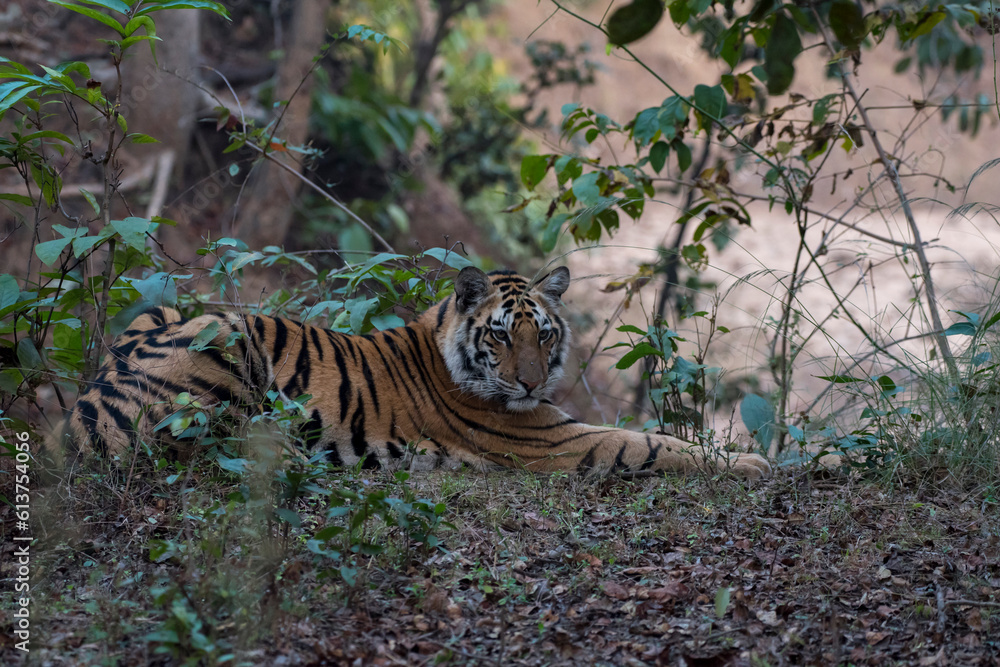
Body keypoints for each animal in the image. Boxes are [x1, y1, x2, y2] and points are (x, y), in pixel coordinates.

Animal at [51, 266, 770, 479]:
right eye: (502, 333)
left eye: (545, 332)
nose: (531, 383)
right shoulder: (552, 440)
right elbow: (654, 443)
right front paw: (763, 463)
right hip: (219, 334)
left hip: (167, 307)